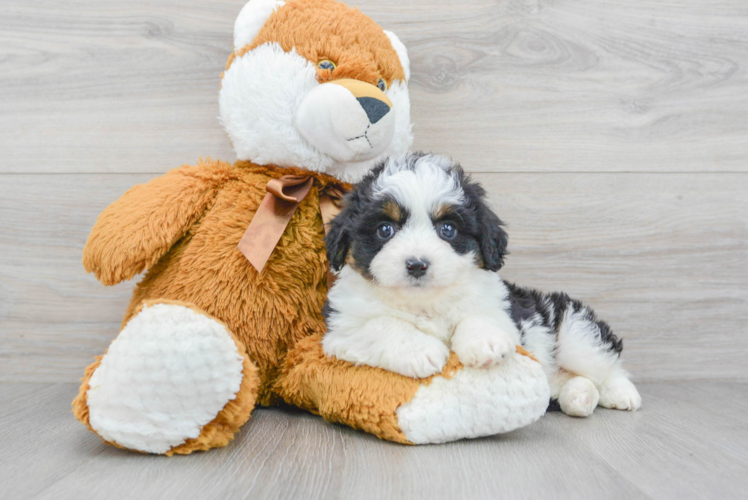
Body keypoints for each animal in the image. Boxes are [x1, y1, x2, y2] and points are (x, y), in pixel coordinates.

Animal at [324, 153, 640, 418]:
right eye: (385, 229)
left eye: (447, 229)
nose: (417, 264)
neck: (424, 302)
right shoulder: (339, 332)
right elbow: (381, 324)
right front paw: (419, 350)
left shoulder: (506, 313)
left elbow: (480, 314)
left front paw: (484, 342)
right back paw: (579, 397)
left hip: (575, 330)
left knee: (605, 364)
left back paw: (622, 394)